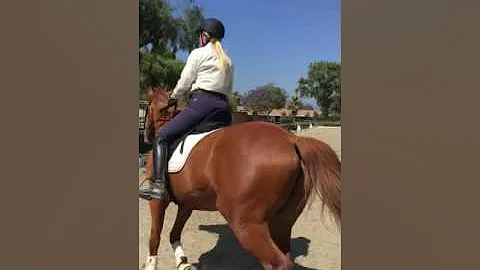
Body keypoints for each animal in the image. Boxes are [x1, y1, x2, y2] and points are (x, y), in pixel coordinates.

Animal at [139, 87, 342, 268]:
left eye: (147, 106)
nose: (147, 135)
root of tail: (291, 140)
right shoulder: (187, 203)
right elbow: (174, 233)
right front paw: (182, 262)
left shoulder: (158, 201)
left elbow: (155, 235)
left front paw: (151, 264)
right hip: (282, 221)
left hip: (245, 223)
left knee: (278, 263)